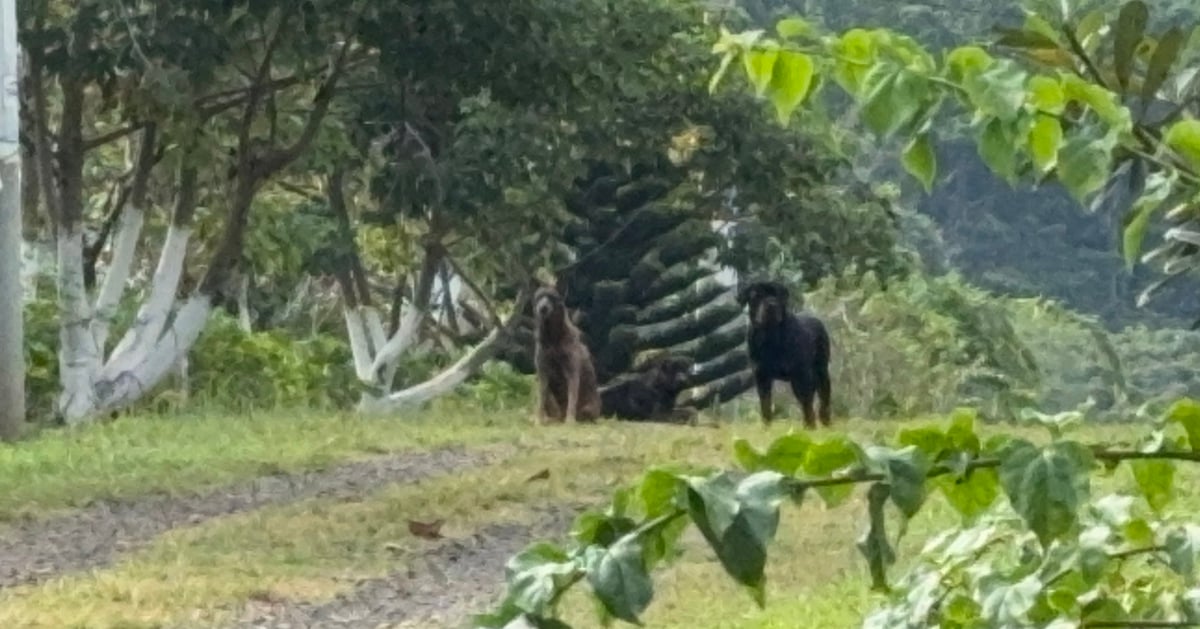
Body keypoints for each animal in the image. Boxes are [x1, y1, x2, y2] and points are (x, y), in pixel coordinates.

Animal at [535, 285, 600, 424]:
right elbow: (541, 398)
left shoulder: (572, 371)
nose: (543, 307)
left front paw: (570, 420)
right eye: (539, 297)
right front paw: (538, 419)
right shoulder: (542, 371)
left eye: (552, 297)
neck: (552, 337)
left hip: (588, 409)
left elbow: (572, 397)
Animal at [734, 279, 830, 427]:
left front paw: (810, 426)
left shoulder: (800, 374)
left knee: (822, 397)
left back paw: (824, 419)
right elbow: (765, 404)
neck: (770, 335)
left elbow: (807, 403)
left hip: (821, 370)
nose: (771, 304)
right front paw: (766, 426)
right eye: (756, 295)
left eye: (777, 294)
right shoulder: (761, 376)